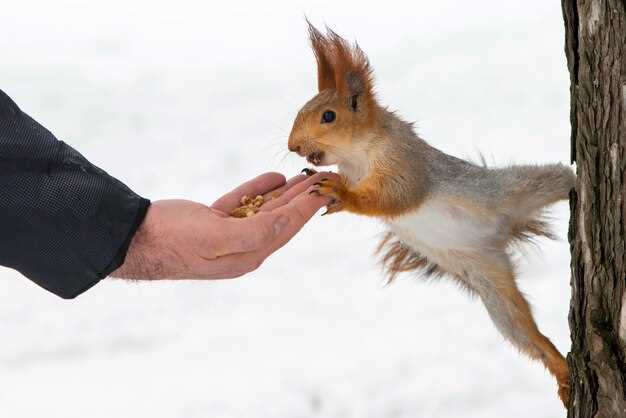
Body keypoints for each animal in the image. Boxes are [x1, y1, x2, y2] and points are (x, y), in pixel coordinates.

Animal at [286, 22, 572, 404]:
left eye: (328, 116)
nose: (293, 147)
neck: (356, 158)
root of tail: (502, 233)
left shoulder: (405, 162)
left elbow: (396, 196)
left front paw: (341, 194)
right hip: (489, 284)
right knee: (524, 334)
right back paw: (562, 371)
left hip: (509, 188)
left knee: (561, 178)